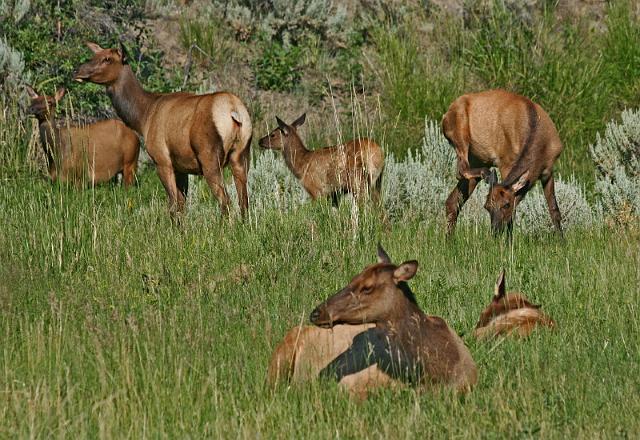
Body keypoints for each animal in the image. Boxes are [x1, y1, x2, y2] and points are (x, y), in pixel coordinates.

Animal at [74, 42, 252, 217]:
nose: (77, 70)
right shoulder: (181, 167)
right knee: (244, 202)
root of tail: (234, 111)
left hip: (209, 157)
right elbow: (181, 205)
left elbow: (173, 206)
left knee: (225, 201)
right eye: (94, 55)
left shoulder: (162, 160)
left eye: (107, 59)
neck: (143, 117)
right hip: (241, 155)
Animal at [256, 115, 384, 208]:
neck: (301, 164)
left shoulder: (315, 190)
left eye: (273, 134)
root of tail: (378, 152)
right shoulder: (333, 195)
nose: (260, 141)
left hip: (358, 181)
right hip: (376, 182)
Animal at [442, 88, 564, 234]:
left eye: (506, 205)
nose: (495, 230)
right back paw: (487, 174)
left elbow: (554, 210)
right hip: (460, 132)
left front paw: (562, 239)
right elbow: (513, 216)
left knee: (452, 201)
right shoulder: (505, 160)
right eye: (487, 206)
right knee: (460, 170)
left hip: (477, 159)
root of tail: (445, 116)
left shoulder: (548, 170)